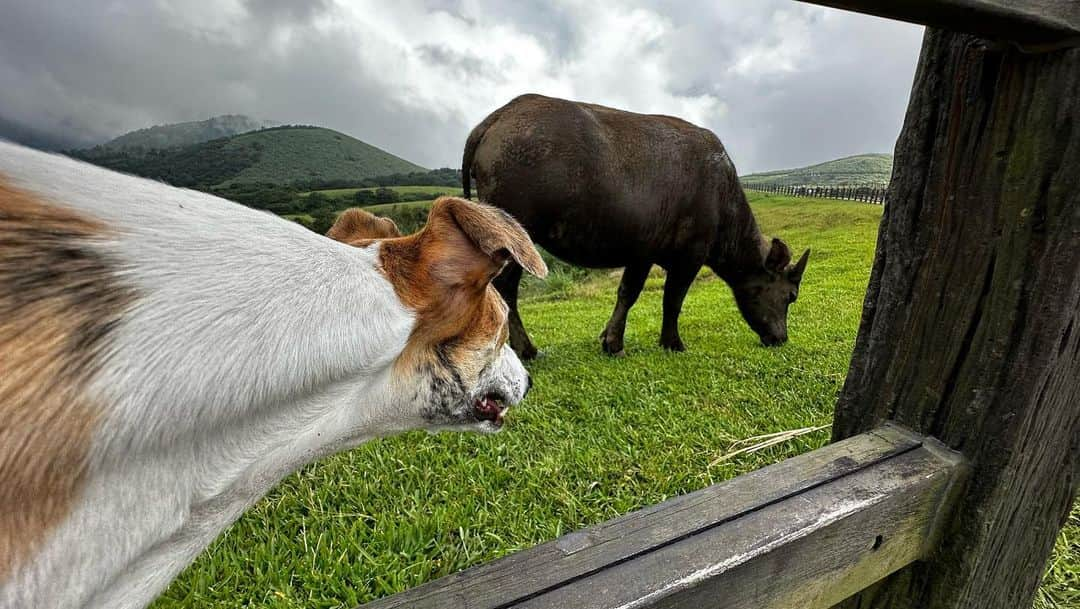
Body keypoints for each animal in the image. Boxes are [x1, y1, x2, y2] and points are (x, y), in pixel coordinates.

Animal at [460, 93, 807, 356]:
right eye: (791, 296)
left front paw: (610, 338)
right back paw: (527, 349)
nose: (781, 337)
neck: (723, 202)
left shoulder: (642, 252)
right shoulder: (689, 257)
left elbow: (627, 292)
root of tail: (497, 118)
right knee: (505, 288)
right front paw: (670, 342)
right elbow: (672, 300)